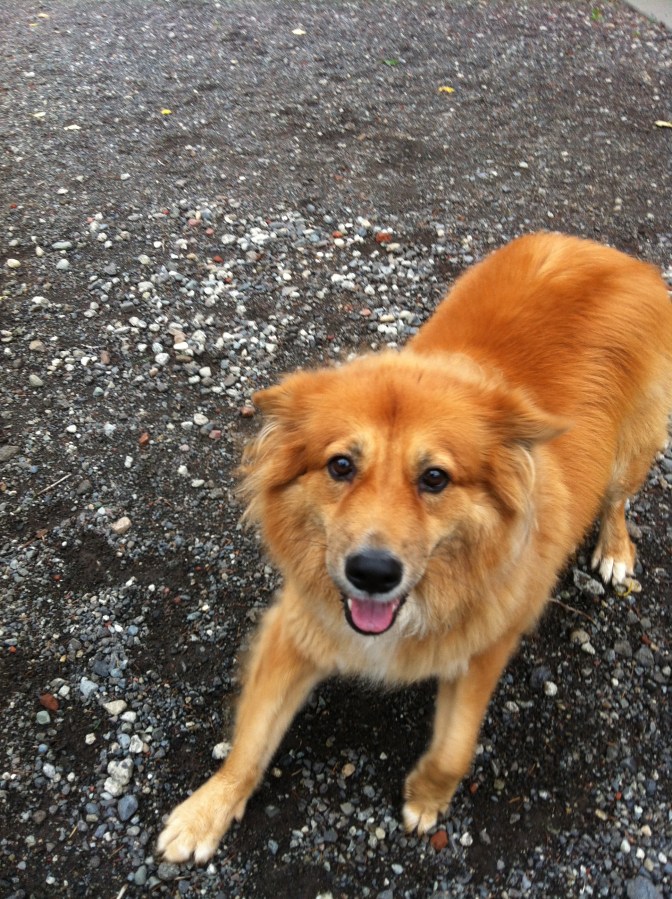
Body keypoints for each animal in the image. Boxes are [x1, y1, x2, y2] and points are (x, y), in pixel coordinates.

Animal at [158, 232, 672, 863]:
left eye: (434, 478)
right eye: (341, 466)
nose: (372, 572)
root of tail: (610, 253)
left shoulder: (487, 641)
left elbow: (455, 747)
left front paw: (427, 796)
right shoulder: (297, 627)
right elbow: (250, 741)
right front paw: (205, 811)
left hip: (635, 447)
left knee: (619, 498)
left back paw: (616, 549)